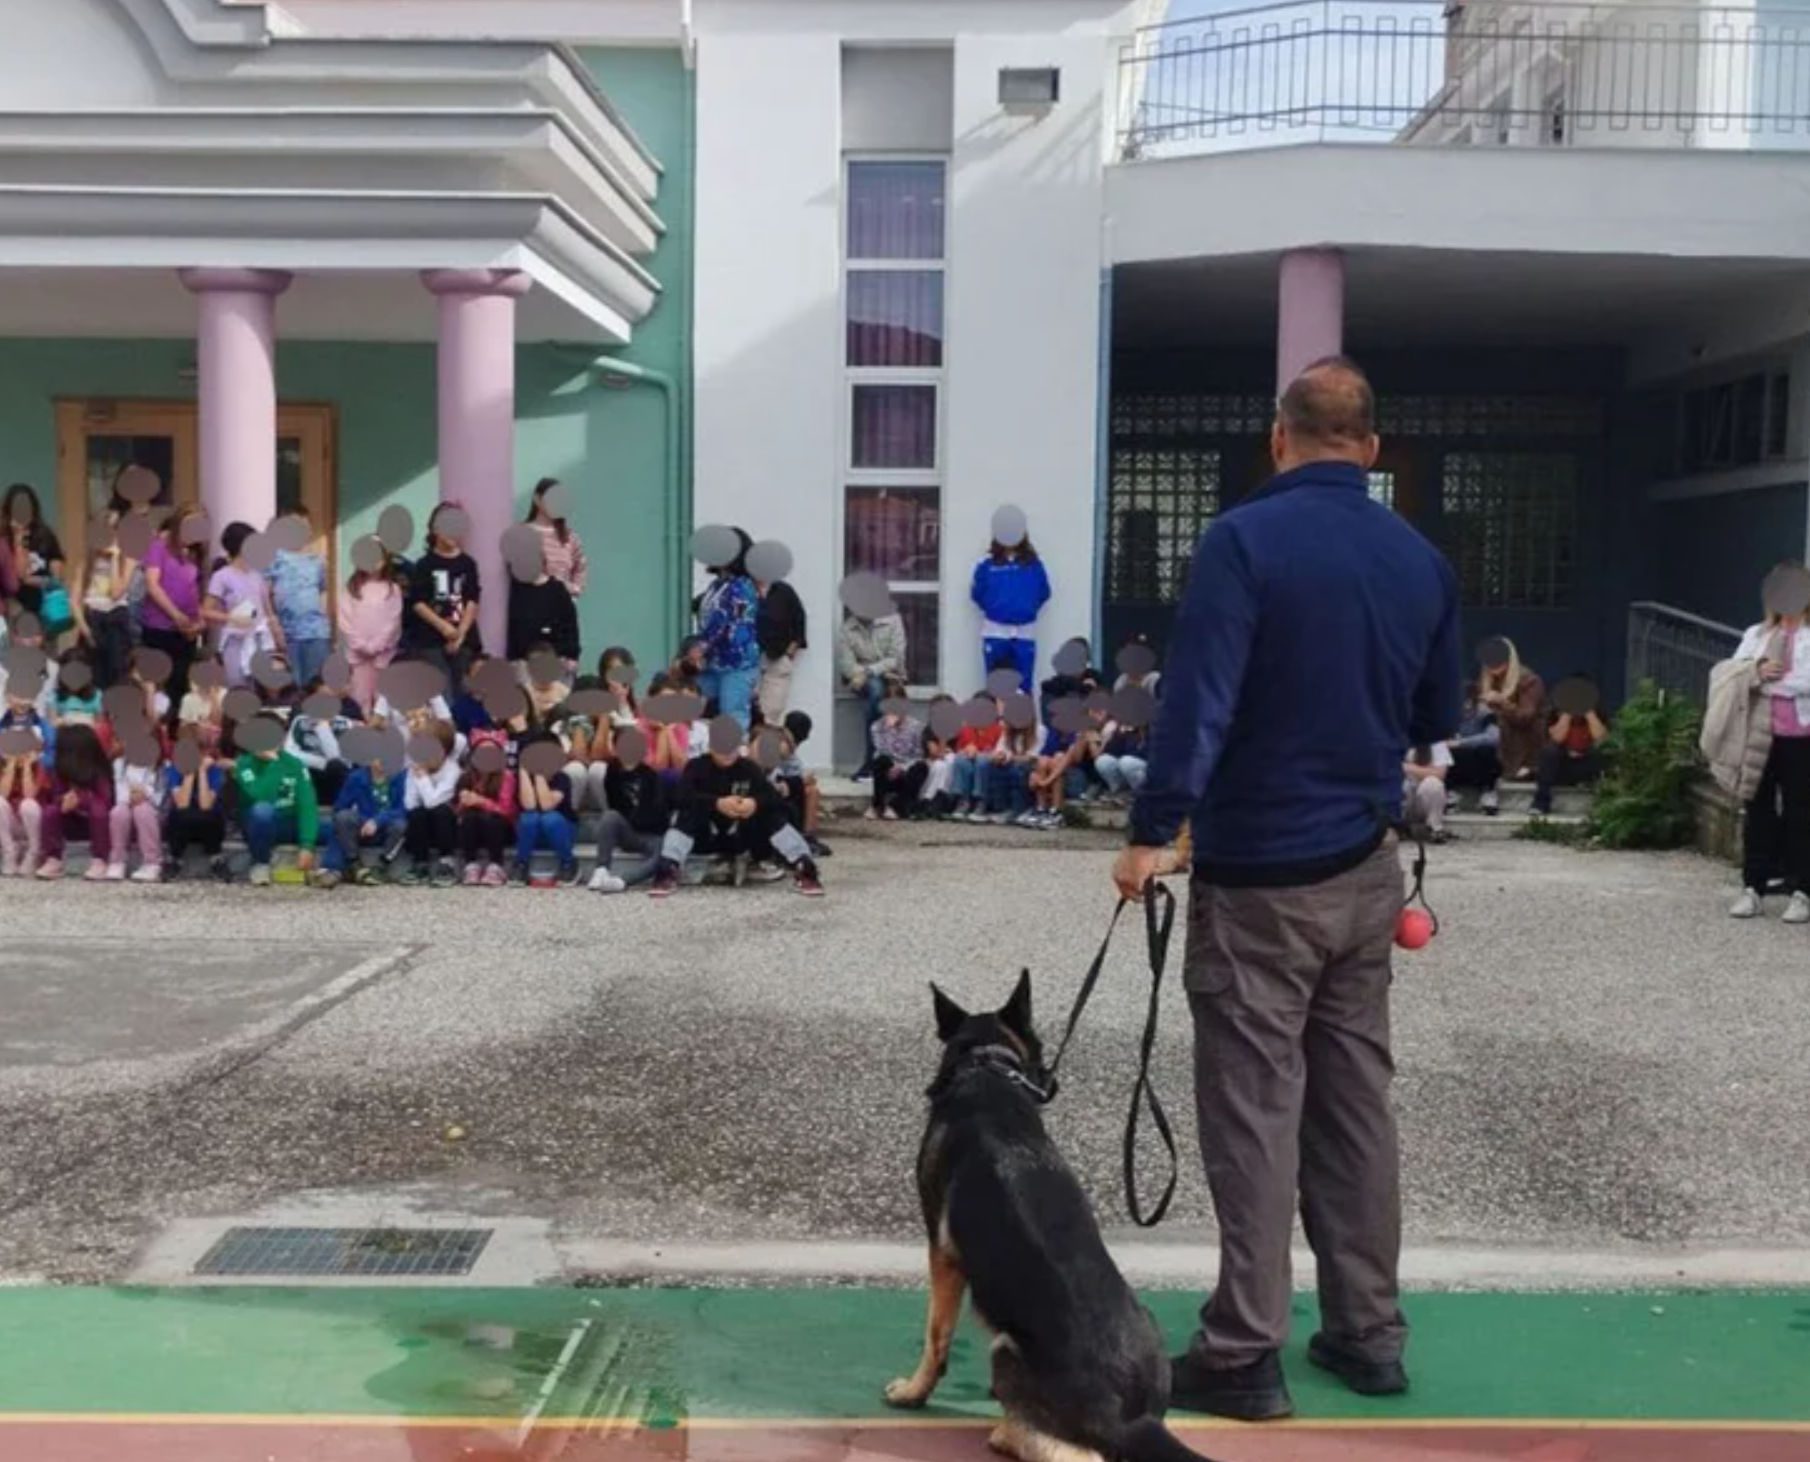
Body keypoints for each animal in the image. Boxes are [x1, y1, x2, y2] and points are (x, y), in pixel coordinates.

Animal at [879, 969, 1216, 1462]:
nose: (1052, 1085)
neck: (987, 1067)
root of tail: (1132, 1418)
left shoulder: (942, 1255)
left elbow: (935, 1336)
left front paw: (913, 1391)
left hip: (1006, 1348)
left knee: (1070, 1452)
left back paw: (1006, 1431)